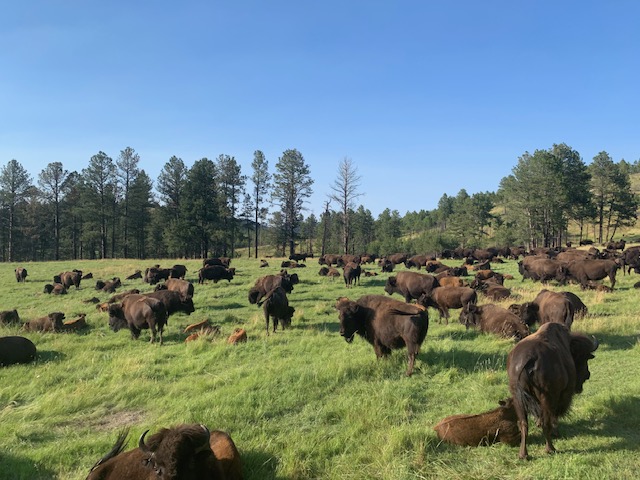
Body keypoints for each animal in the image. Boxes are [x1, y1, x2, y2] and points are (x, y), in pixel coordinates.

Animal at [507, 322, 598, 459]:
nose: (587, 375)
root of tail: (529, 359)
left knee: (523, 424)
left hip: (518, 399)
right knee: (546, 422)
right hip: (546, 396)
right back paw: (550, 449)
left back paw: (523, 455)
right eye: (584, 357)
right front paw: (556, 432)